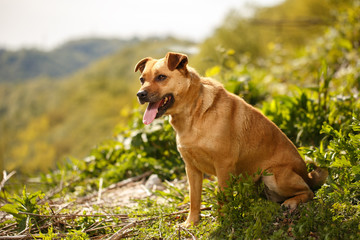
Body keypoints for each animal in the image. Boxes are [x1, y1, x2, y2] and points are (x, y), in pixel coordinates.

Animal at [134, 51, 328, 226]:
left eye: (161, 77)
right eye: (142, 80)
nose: (140, 94)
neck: (193, 113)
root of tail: (307, 174)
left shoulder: (223, 166)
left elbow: (222, 198)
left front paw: (223, 222)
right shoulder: (192, 168)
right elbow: (194, 199)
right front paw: (191, 223)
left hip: (273, 175)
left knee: (309, 192)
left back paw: (291, 202)